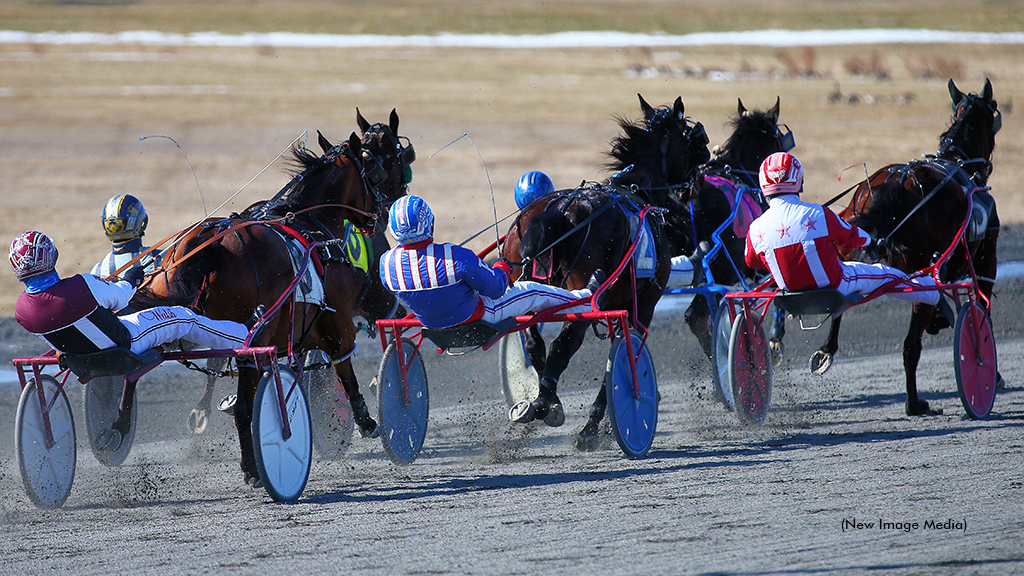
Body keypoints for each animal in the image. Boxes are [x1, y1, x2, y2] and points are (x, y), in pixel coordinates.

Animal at [134, 108, 413, 483]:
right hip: (253, 339)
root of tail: (211, 243)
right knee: (246, 408)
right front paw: (367, 420)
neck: (313, 226)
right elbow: (344, 364)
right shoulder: (340, 317)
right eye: (387, 162)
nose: (386, 211)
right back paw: (254, 466)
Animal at [497, 94, 712, 448]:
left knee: (534, 342)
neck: (637, 190)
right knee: (565, 343)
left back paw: (549, 403)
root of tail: (560, 208)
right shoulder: (644, 303)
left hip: (524, 280)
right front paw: (597, 423)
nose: (702, 177)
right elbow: (627, 352)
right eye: (696, 139)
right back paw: (545, 403)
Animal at [811, 78, 995, 414]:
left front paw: (940, 315)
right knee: (911, 345)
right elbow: (981, 309)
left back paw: (827, 349)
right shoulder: (986, 252)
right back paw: (914, 402)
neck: (958, 164)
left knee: (839, 298)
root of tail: (898, 180)